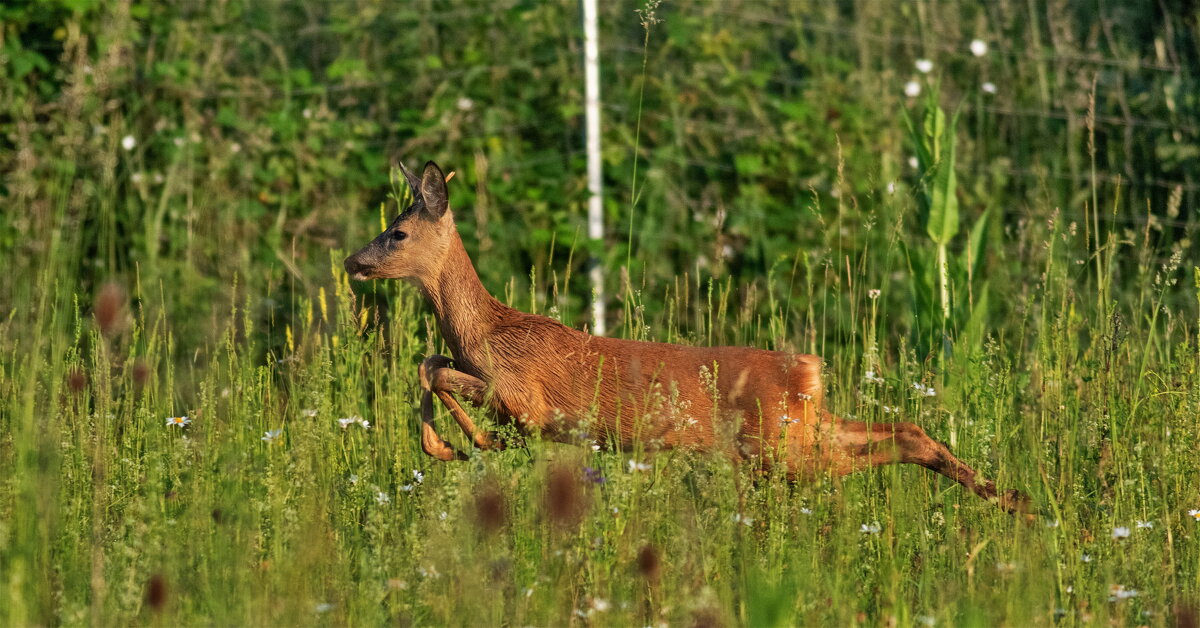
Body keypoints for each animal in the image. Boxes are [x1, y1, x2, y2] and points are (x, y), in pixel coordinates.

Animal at [345, 162, 1032, 516]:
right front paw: (454, 446)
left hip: (776, 448)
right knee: (907, 431)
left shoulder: (526, 396)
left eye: (397, 233)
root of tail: (809, 368)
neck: (486, 329)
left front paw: (468, 444)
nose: (353, 261)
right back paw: (1016, 501)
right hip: (798, 429)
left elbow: (436, 369)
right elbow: (428, 359)